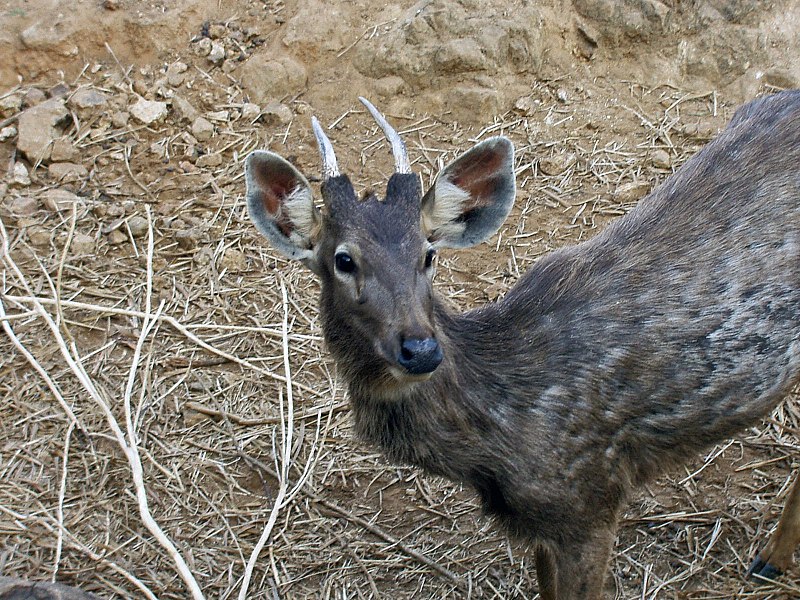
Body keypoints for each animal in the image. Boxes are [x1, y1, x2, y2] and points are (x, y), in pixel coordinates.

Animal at [244, 91, 800, 596]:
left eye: (428, 254)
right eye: (343, 259)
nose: (420, 349)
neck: (500, 437)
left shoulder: (590, 498)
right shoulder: (542, 526)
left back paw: (770, 559)